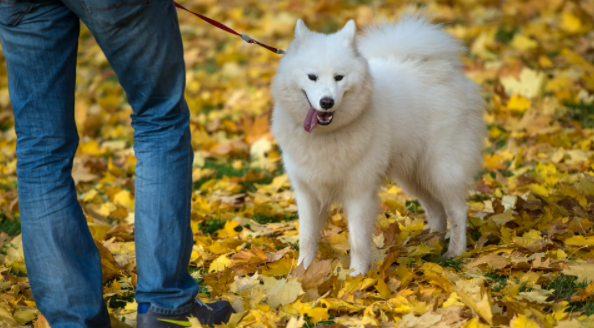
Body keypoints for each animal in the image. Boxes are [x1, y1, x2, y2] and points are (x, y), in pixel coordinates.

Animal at [270, 12, 484, 276]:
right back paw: (429, 244)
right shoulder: (307, 192)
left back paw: (455, 251)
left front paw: (356, 276)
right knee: (435, 210)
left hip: (441, 169)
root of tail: (443, 69)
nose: (327, 102)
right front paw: (302, 273)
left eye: (339, 77)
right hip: (413, 175)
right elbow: (307, 238)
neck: (326, 135)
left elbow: (357, 240)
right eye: (312, 77)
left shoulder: (359, 191)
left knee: (457, 210)